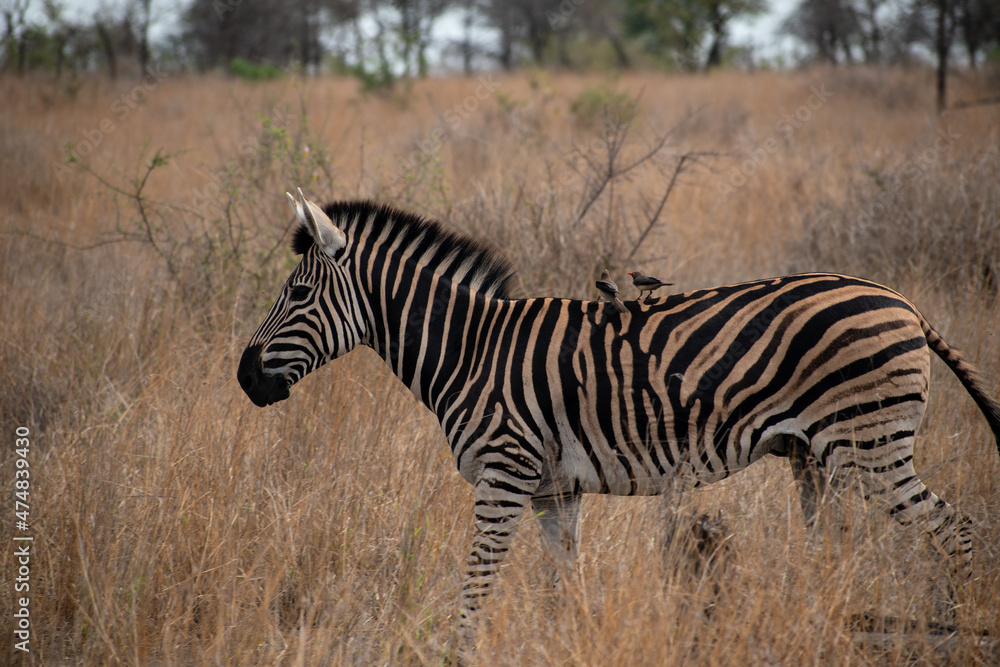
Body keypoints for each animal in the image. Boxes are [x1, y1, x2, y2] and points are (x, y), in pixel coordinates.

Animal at [240, 192, 1000, 648]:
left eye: (298, 295)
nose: (246, 378)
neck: (470, 348)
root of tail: (902, 301)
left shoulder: (504, 475)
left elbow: (477, 581)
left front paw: (460, 651)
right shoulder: (555, 489)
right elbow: (562, 589)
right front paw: (567, 646)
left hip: (871, 445)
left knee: (955, 531)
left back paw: (959, 623)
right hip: (819, 458)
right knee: (836, 553)